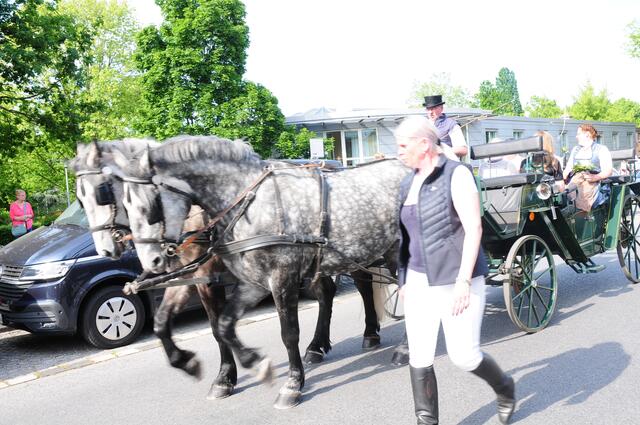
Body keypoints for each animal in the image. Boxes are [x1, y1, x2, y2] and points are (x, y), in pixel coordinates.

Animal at [73, 141, 400, 401]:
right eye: (81, 198)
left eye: (104, 191)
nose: (106, 251)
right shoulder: (198, 279)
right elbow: (186, 325)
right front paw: (211, 369)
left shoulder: (274, 278)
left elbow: (285, 332)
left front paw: (287, 383)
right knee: (327, 293)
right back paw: (318, 347)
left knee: (365, 285)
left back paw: (373, 336)